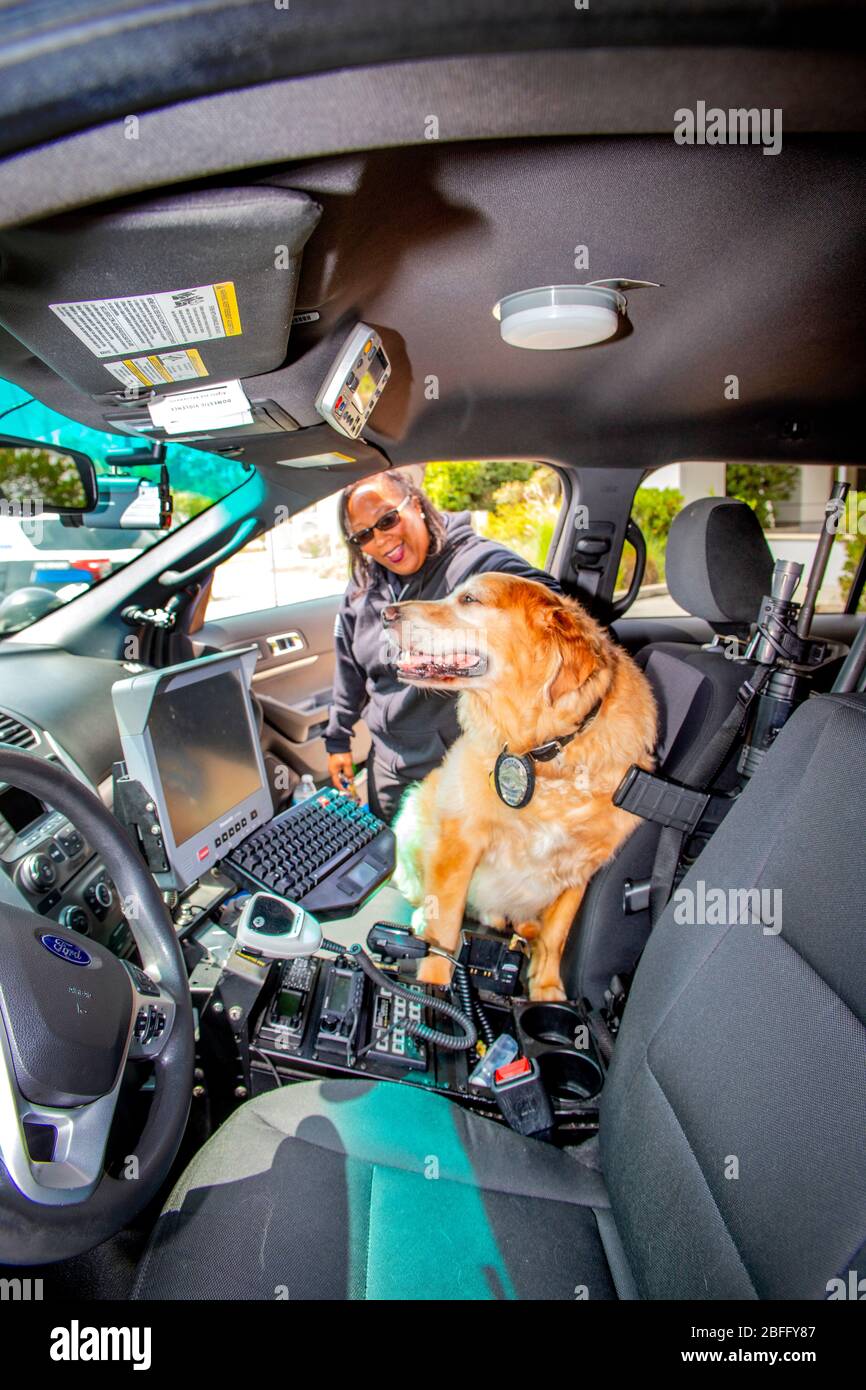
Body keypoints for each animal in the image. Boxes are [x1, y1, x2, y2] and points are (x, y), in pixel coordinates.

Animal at [386, 572, 656, 1000]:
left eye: (470, 599)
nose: (386, 613)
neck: (546, 752)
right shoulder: (459, 841)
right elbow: (444, 927)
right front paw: (433, 988)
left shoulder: (582, 867)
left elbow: (557, 937)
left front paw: (546, 989)